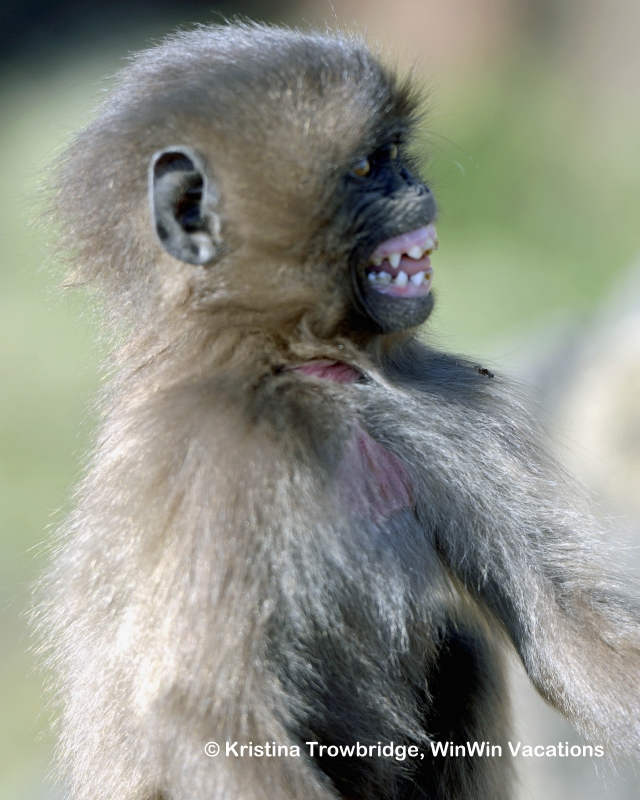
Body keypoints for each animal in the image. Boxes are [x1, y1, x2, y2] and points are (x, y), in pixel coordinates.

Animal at [37, 22, 640, 800]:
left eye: (398, 156)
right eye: (368, 167)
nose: (418, 187)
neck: (297, 369)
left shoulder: (449, 405)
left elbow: (563, 630)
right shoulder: (209, 450)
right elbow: (195, 712)